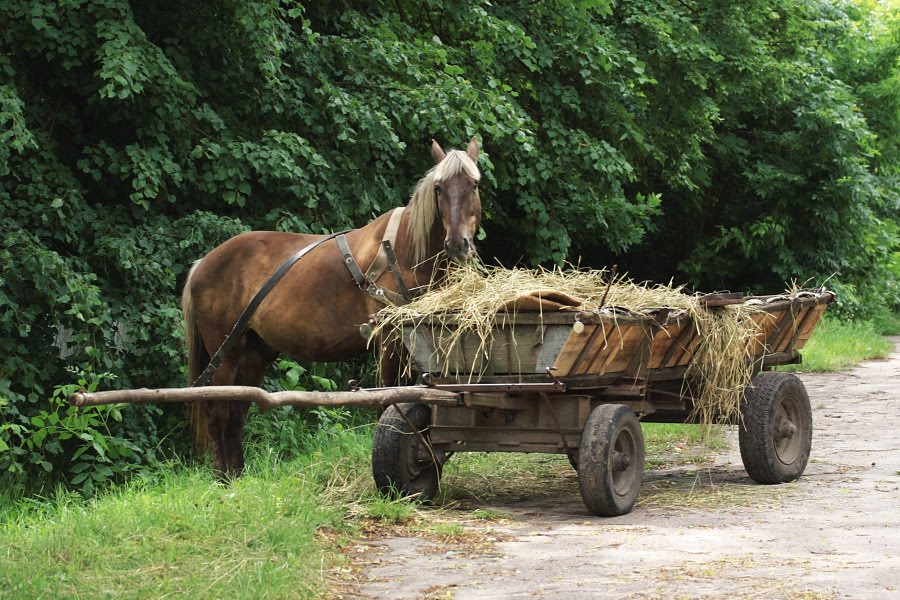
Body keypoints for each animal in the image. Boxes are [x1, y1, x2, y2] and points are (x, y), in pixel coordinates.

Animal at [178, 136, 482, 478]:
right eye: (439, 188)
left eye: (474, 184)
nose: (457, 244)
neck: (403, 251)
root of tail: (203, 263)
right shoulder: (389, 340)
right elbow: (390, 397)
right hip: (225, 351)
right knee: (218, 413)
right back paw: (224, 481)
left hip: (252, 353)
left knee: (236, 415)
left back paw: (238, 478)